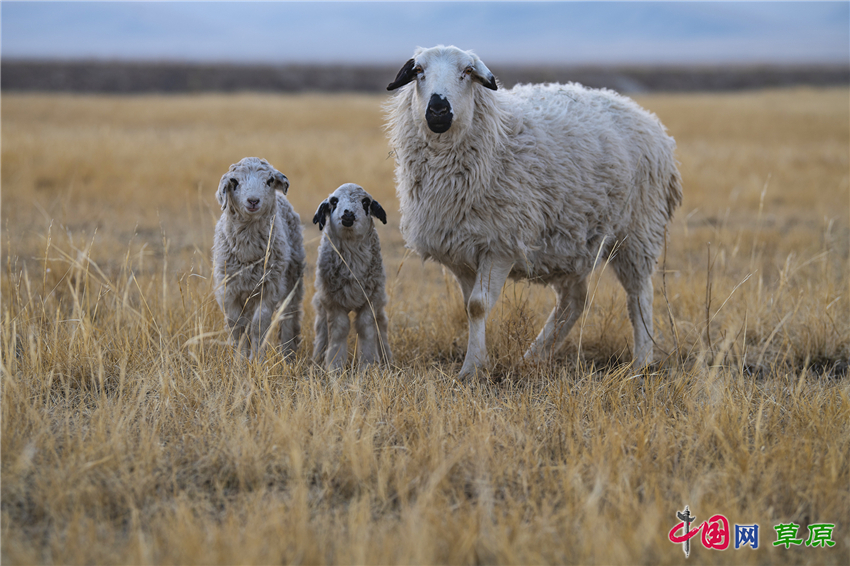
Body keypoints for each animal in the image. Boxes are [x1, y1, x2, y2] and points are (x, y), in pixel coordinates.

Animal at [212, 156, 304, 360]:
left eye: (270, 181)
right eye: (234, 181)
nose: (253, 200)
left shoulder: (269, 287)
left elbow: (258, 326)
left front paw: (258, 360)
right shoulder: (229, 290)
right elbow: (236, 327)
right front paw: (238, 360)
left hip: (293, 276)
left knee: (289, 314)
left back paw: (288, 354)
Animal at [312, 183, 390, 372]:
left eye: (365, 202)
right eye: (334, 201)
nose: (348, 214)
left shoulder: (371, 299)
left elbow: (366, 327)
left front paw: (368, 365)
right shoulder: (332, 301)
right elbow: (339, 328)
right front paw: (334, 366)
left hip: (379, 298)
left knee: (381, 323)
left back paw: (387, 358)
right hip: (321, 300)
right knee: (321, 327)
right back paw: (317, 358)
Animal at [384, 45, 684, 382]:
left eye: (467, 71)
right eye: (419, 71)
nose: (438, 110)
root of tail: (650, 120)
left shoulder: (500, 244)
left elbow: (478, 306)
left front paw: (472, 369)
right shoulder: (461, 251)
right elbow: (469, 306)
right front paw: (478, 362)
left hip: (637, 231)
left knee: (638, 295)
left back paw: (641, 363)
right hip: (570, 240)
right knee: (573, 301)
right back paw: (533, 357)